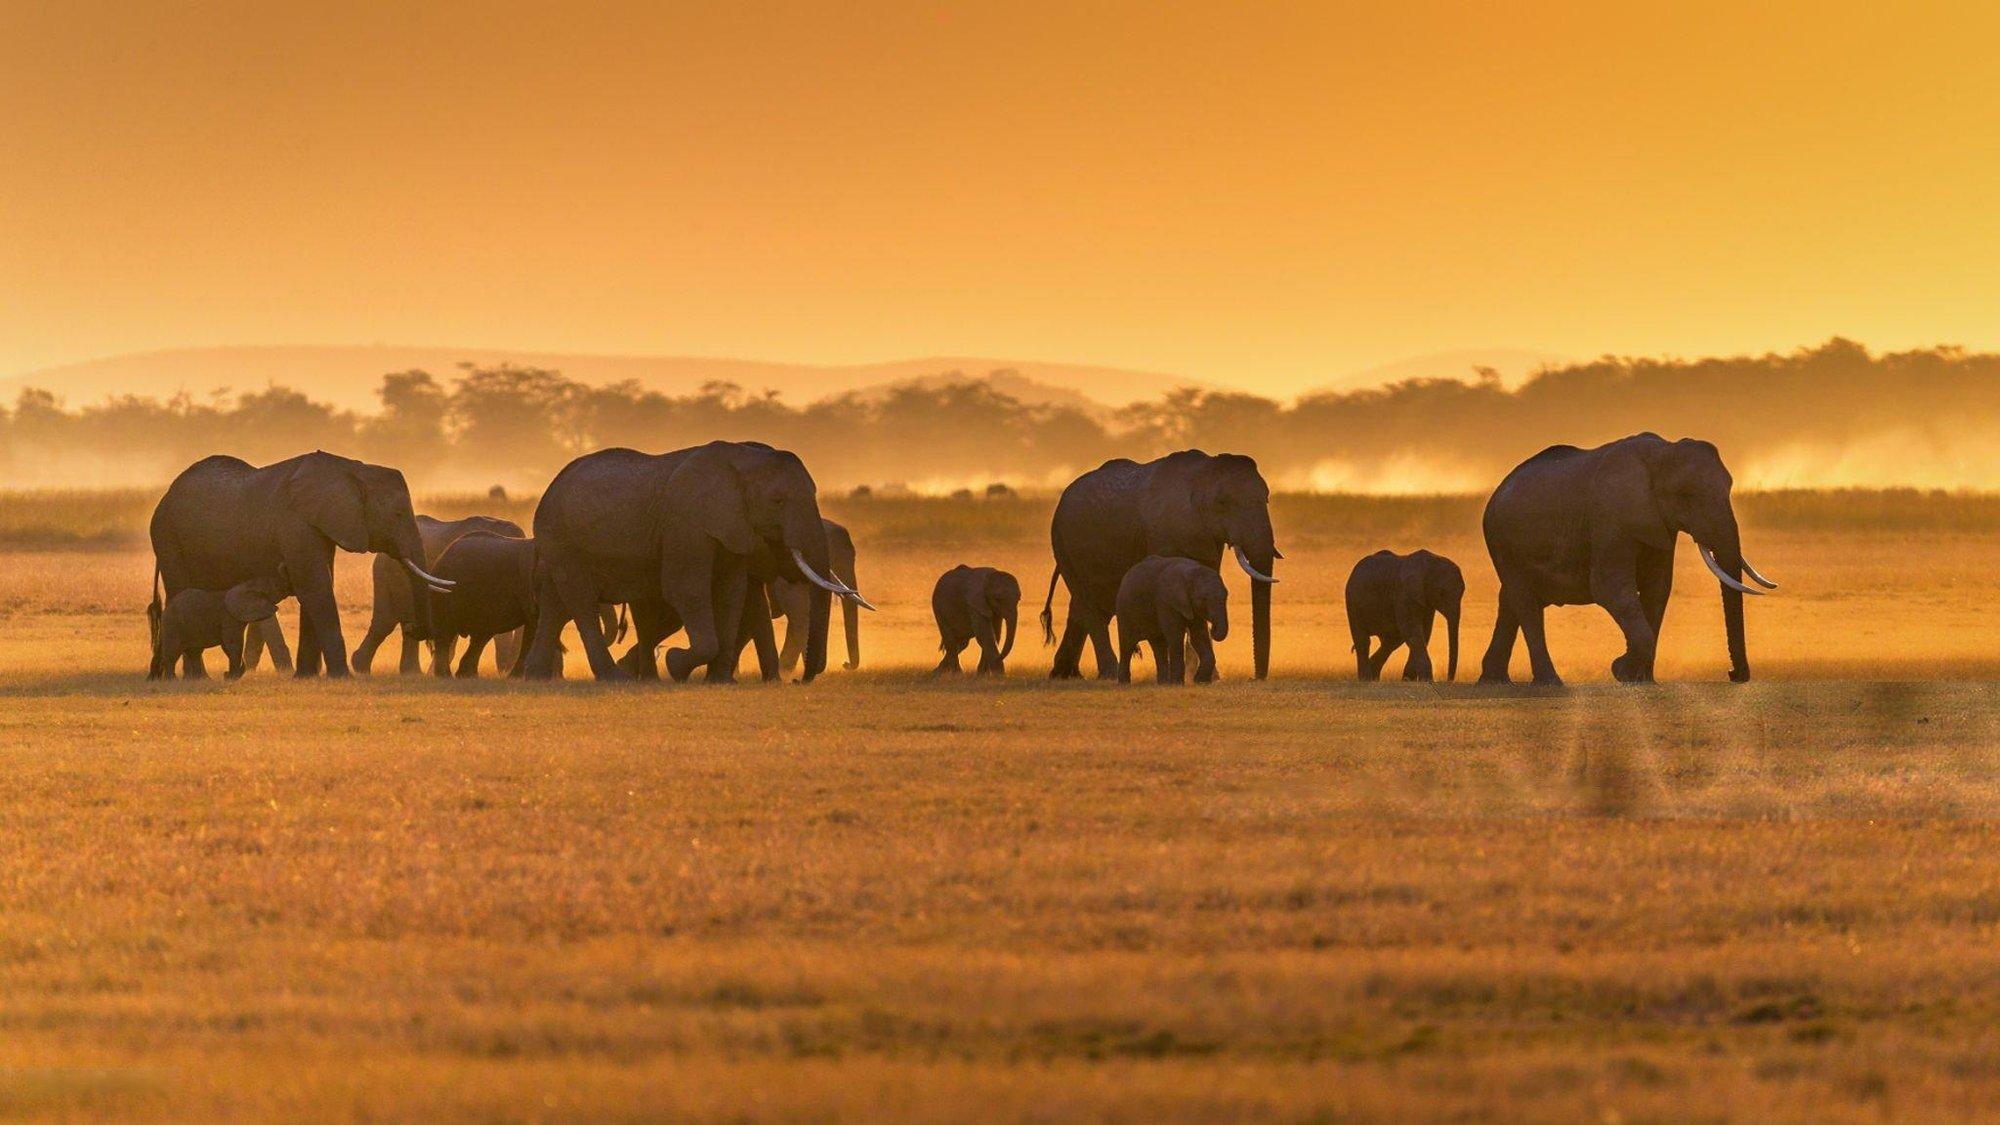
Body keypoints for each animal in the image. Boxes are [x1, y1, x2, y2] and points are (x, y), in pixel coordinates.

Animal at [147, 576, 285, 680]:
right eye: (273, 588)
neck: (244, 586)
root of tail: (165, 610)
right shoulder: (228, 617)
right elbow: (232, 644)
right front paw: (231, 677)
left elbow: (228, 646)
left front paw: (231, 675)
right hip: (173, 625)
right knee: (173, 653)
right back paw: (173, 680)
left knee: (194, 652)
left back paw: (201, 680)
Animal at [525, 440, 869, 682]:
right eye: (778, 501)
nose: (799, 681)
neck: (742, 461)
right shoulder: (687, 523)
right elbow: (686, 590)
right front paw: (676, 665)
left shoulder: (732, 528)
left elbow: (731, 594)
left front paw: (719, 681)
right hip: (561, 538)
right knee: (580, 601)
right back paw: (613, 677)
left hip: (560, 542)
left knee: (556, 605)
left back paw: (537, 676)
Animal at [1115, 555, 1230, 684]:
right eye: (1203, 599)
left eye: (1226, 596)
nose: (1212, 628)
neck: (1189, 573)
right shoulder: (1166, 602)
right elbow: (1175, 637)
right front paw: (1177, 683)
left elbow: (1199, 636)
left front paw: (1200, 681)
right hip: (1124, 609)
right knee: (1127, 644)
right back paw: (1124, 683)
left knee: (1158, 645)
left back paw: (1163, 683)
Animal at [1344, 549, 1463, 682]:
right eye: (1441, 593)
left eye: (1462, 592)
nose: (1448, 680)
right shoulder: (1403, 594)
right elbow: (1411, 631)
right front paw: (1426, 681)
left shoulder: (1425, 602)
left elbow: (1424, 632)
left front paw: (1409, 680)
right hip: (1352, 602)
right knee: (1363, 640)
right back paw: (1366, 679)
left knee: (1392, 641)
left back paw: (1373, 676)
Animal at [1479, 433, 1777, 685]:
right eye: (1685, 495)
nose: (1733, 674)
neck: (1661, 453)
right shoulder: (1611, 520)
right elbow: (1609, 588)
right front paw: (1620, 669)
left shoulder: (1658, 526)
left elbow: (1657, 590)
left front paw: (1640, 679)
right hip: (1502, 541)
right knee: (1526, 604)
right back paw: (1550, 682)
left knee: (1510, 602)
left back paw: (1494, 681)